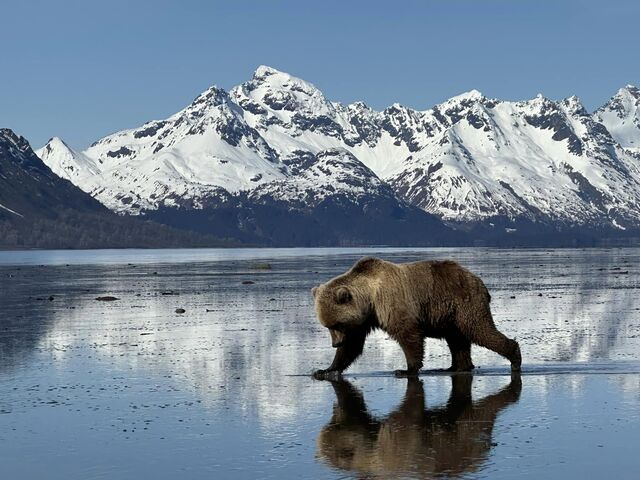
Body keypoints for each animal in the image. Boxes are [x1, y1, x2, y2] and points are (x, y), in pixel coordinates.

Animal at [312, 256, 524, 376]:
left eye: (337, 324)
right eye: (327, 326)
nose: (335, 343)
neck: (371, 297)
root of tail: (479, 281)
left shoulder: (393, 304)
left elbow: (409, 336)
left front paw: (405, 369)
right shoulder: (364, 320)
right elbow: (352, 346)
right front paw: (324, 370)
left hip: (465, 303)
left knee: (479, 330)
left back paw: (514, 358)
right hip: (450, 317)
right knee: (457, 341)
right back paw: (456, 367)